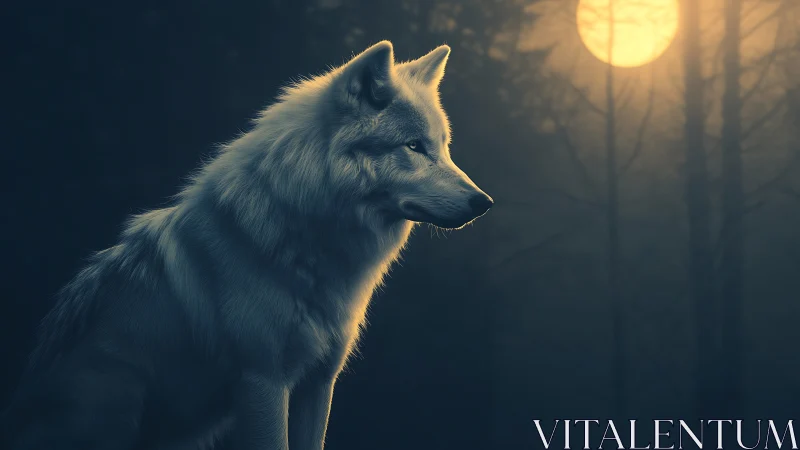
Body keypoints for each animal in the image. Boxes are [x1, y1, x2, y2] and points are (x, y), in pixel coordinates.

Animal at [1, 40, 493, 450]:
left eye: (443, 147)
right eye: (413, 146)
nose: (484, 202)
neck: (307, 242)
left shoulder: (318, 383)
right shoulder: (263, 382)